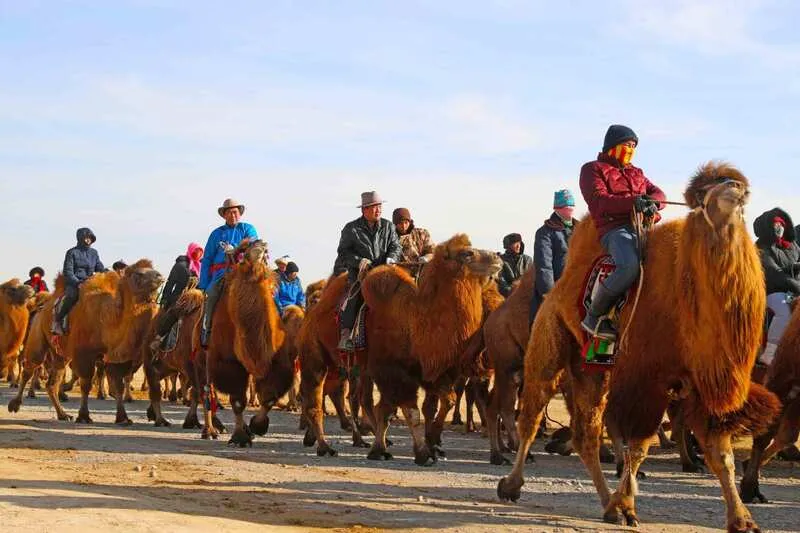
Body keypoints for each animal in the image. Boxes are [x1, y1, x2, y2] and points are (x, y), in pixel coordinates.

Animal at [8, 258, 162, 424]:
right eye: (139, 274)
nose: (159, 276)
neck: (107, 319)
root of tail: (41, 309)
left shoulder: (114, 356)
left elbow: (118, 384)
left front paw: (123, 417)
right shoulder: (84, 353)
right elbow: (86, 384)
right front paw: (84, 416)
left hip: (60, 354)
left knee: (52, 382)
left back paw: (63, 414)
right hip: (37, 336)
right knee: (30, 367)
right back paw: (15, 404)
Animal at [197, 240, 300, 444]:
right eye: (243, 253)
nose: (259, 245)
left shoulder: (278, 361)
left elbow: (269, 396)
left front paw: (256, 426)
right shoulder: (228, 362)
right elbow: (238, 401)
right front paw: (240, 436)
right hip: (203, 358)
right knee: (206, 391)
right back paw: (210, 430)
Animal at [360, 233, 504, 462]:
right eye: (467, 253)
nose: (498, 257)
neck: (416, 326)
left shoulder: (436, 373)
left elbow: (444, 402)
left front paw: (433, 441)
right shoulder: (393, 373)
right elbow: (411, 412)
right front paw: (422, 452)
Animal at [494, 163, 780, 532]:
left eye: (738, 180)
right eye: (704, 191)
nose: (735, 188)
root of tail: (556, 288)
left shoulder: (704, 384)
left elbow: (722, 455)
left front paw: (742, 518)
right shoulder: (646, 376)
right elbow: (639, 445)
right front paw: (628, 504)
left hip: (592, 369)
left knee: (586, 433)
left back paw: (606, 503)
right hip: (548, 344)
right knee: (531, 415)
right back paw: (512, 486)